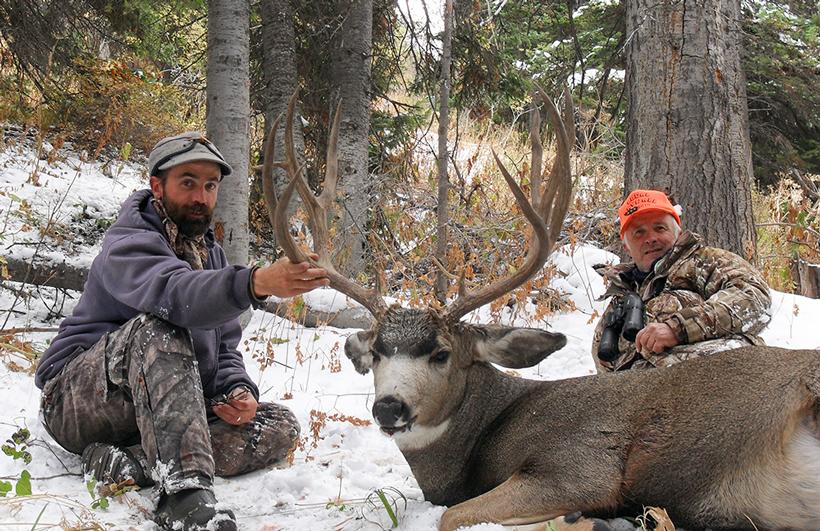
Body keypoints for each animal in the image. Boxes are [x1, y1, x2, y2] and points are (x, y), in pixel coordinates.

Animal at [261, 91, 820, 531]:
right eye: (377, 352)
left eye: (441, 353)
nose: (388, 408)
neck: (489, 432)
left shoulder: (578, 464)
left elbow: (452, 516)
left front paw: (590, 519)